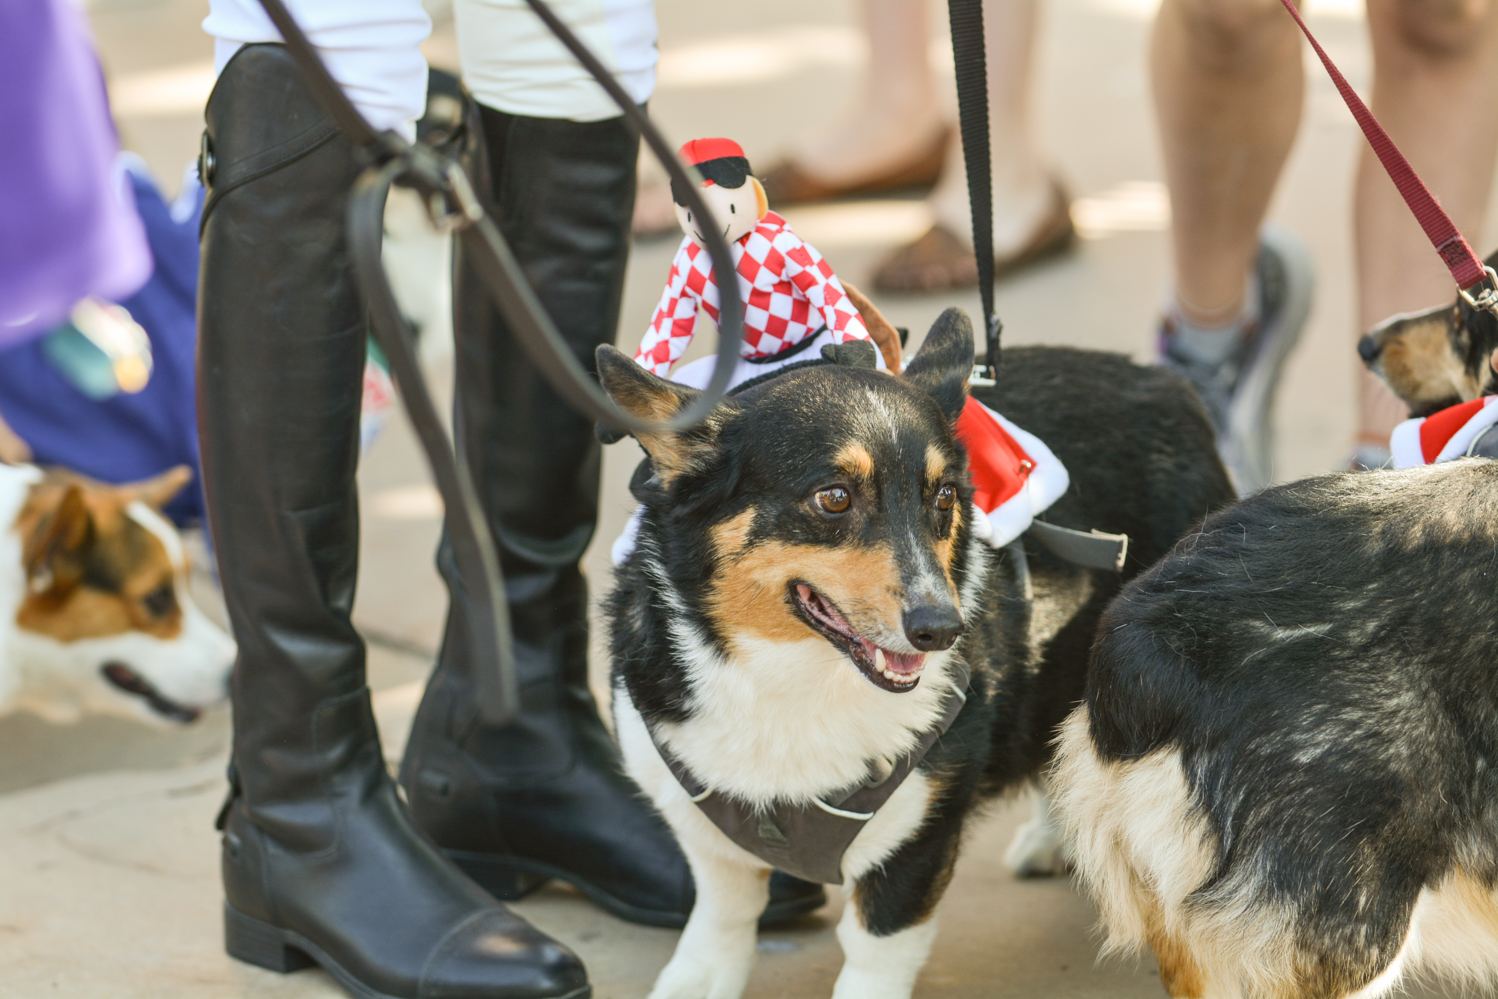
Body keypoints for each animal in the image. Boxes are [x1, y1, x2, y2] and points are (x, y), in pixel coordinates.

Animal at [593, 308, 1228, 994]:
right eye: (834, 497)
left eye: (945, 496)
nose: (943, 629)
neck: (794, 680)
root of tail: (1162, 382)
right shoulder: (704, 826)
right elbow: (721, 919)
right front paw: (696, 977)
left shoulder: (920, 834)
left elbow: (875, 950)